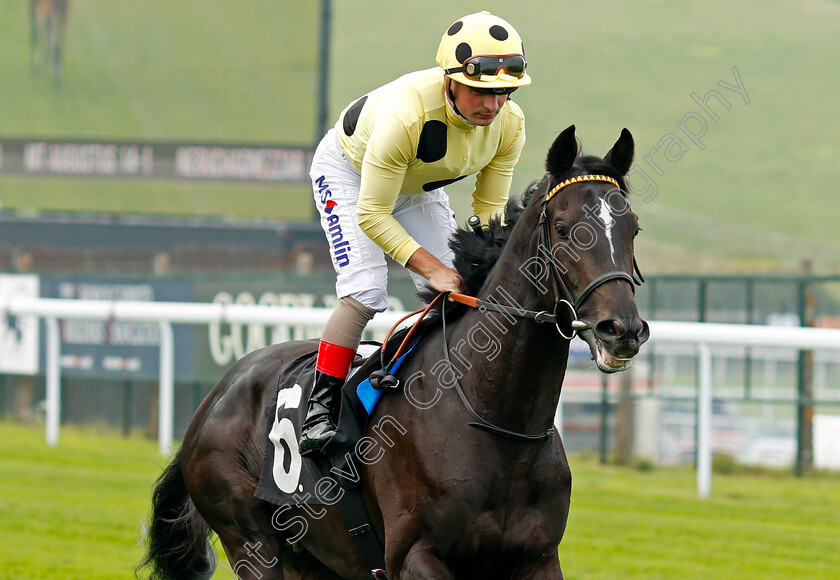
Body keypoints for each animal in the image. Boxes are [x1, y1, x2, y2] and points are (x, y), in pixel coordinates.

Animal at [138, 125, 648, 580]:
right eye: (562, 228)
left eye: (633, 229)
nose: (621, 329)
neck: (499, 422)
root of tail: (218, 394)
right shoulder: (415, 556)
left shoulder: (537, 560)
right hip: (250, 541)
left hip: (315, 561)